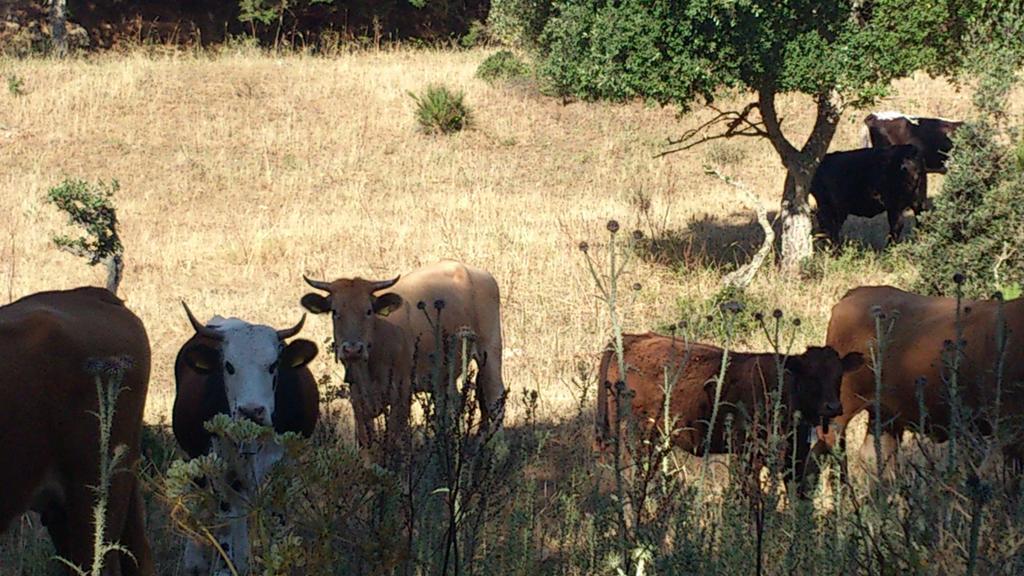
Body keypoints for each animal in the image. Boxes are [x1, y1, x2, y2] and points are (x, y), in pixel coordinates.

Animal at [171, 303, 319, 569]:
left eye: (273, 365)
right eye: (229, 366)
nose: (251, 411)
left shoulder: (283, 471)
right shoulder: (223, 473)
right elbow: (227, 531)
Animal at [598, 332, 860, 483]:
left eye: (839, 376)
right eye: (811, 376)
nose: (833, 406)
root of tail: (633, 337)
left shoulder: (795, 459)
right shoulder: (749, 454)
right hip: (633, 433)